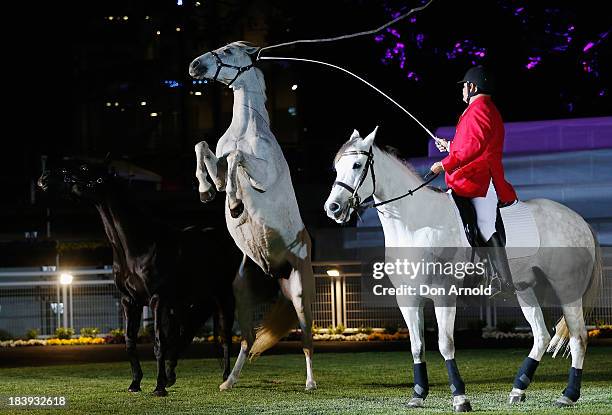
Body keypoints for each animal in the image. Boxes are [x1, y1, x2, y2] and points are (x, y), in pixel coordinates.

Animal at [37, 159, 239, 396]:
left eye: (85, 168)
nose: (44, 177)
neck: (139, 246)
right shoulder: (129, 301)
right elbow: (130, 341)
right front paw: (136, 383)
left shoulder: (157, 300)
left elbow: (159, 342)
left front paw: (159, 387)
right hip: (188, 302)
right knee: (184, 334)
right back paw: (172, 375)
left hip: (222, 298)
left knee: (224, 337)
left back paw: (226, 379)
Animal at [190, 42, 316, 394]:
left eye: (228, 51)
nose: (194, 66)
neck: (246, 131)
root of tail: (277, 273)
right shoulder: (217, 162)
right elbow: (203, 147)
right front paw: (206, 191)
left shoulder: (261, 173)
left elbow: (237, 157)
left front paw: (235, 205)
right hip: (242, 293)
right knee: (246, 340)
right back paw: (228, 381)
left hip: (301, 296)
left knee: (307, 340)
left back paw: (310, 383)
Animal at [326, 127, 604, 412]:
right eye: (337, 168)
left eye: (357, 165)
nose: (332, 208)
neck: (416, 224)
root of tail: (579, 220)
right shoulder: (408, 298)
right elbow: (417, 346)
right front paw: (418, 394)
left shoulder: (443, 294)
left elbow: (445, 344)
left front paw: (460, 397)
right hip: (525, 290)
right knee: (541, 336)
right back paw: (518, 389)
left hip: (568, 290)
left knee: (579, 337)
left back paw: (568, 395)